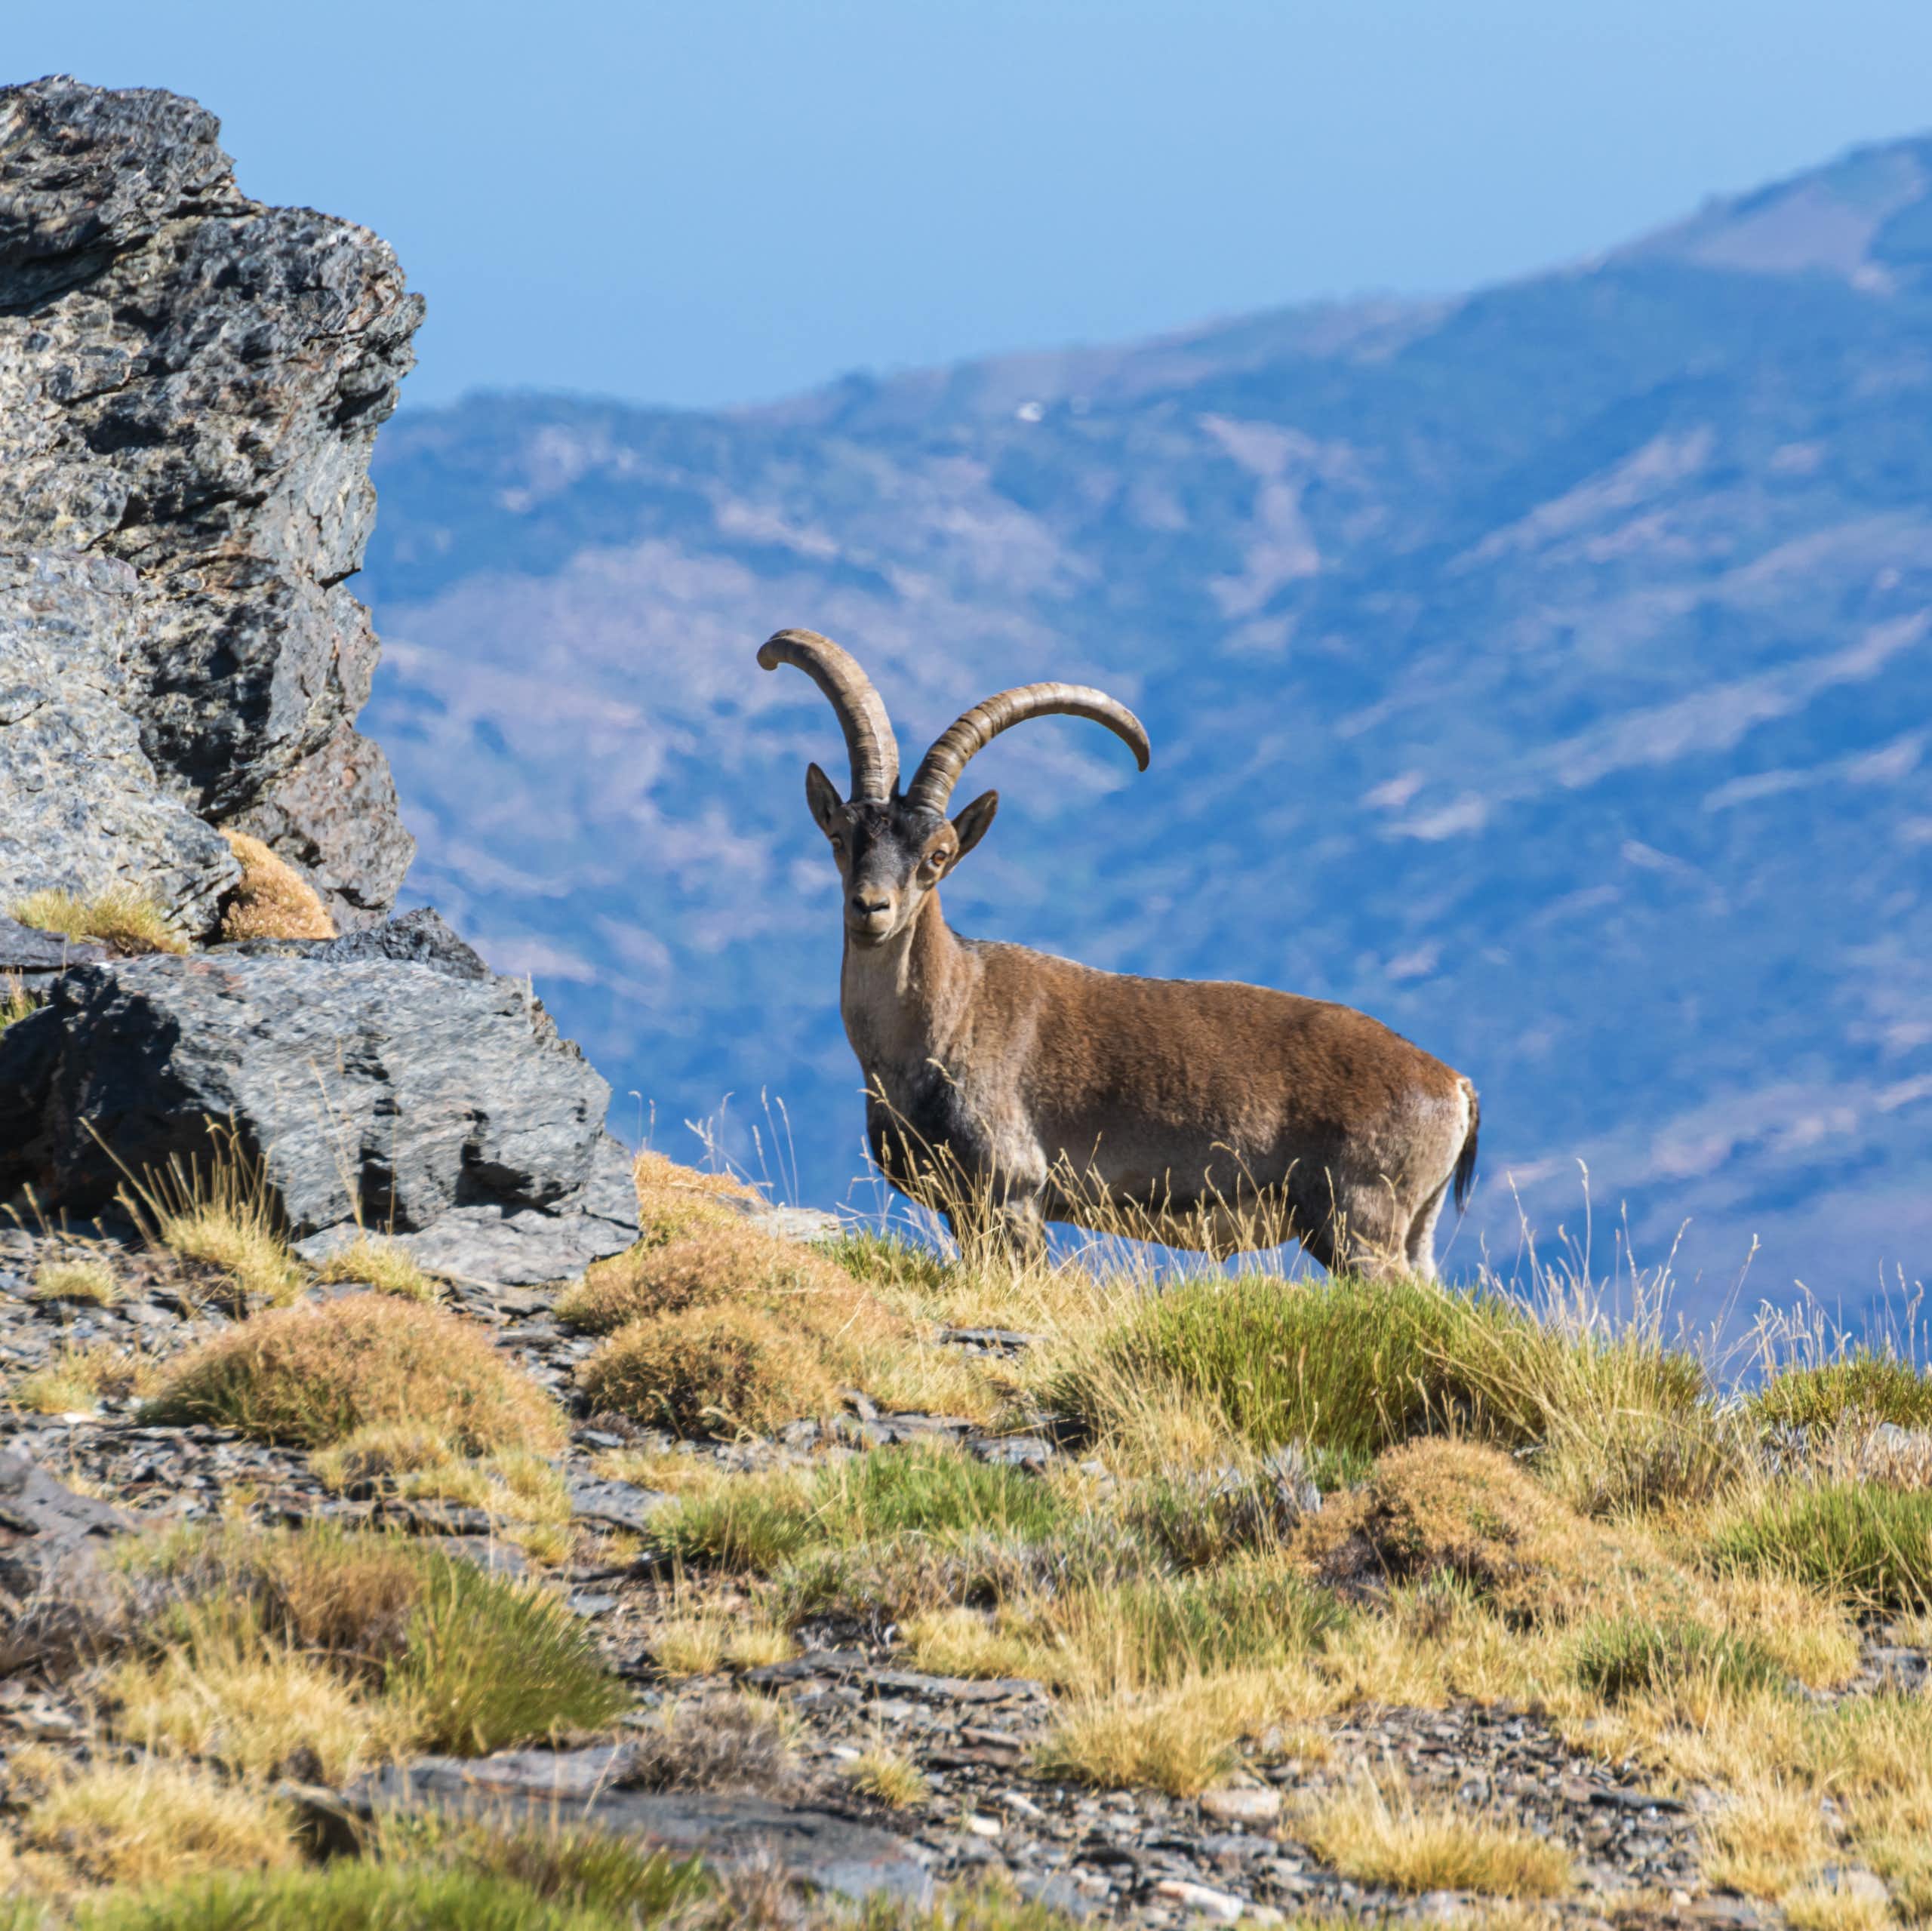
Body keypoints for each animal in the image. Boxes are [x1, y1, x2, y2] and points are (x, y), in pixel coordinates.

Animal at [759, 627, 1479, 1277]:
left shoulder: (1013, 1196)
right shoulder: (967, 1210)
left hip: (1361, 1224)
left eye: (938, 856)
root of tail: (1452, 1084)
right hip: (1408, 1234)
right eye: (841, 836)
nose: (871, 909)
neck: (947, 1016)